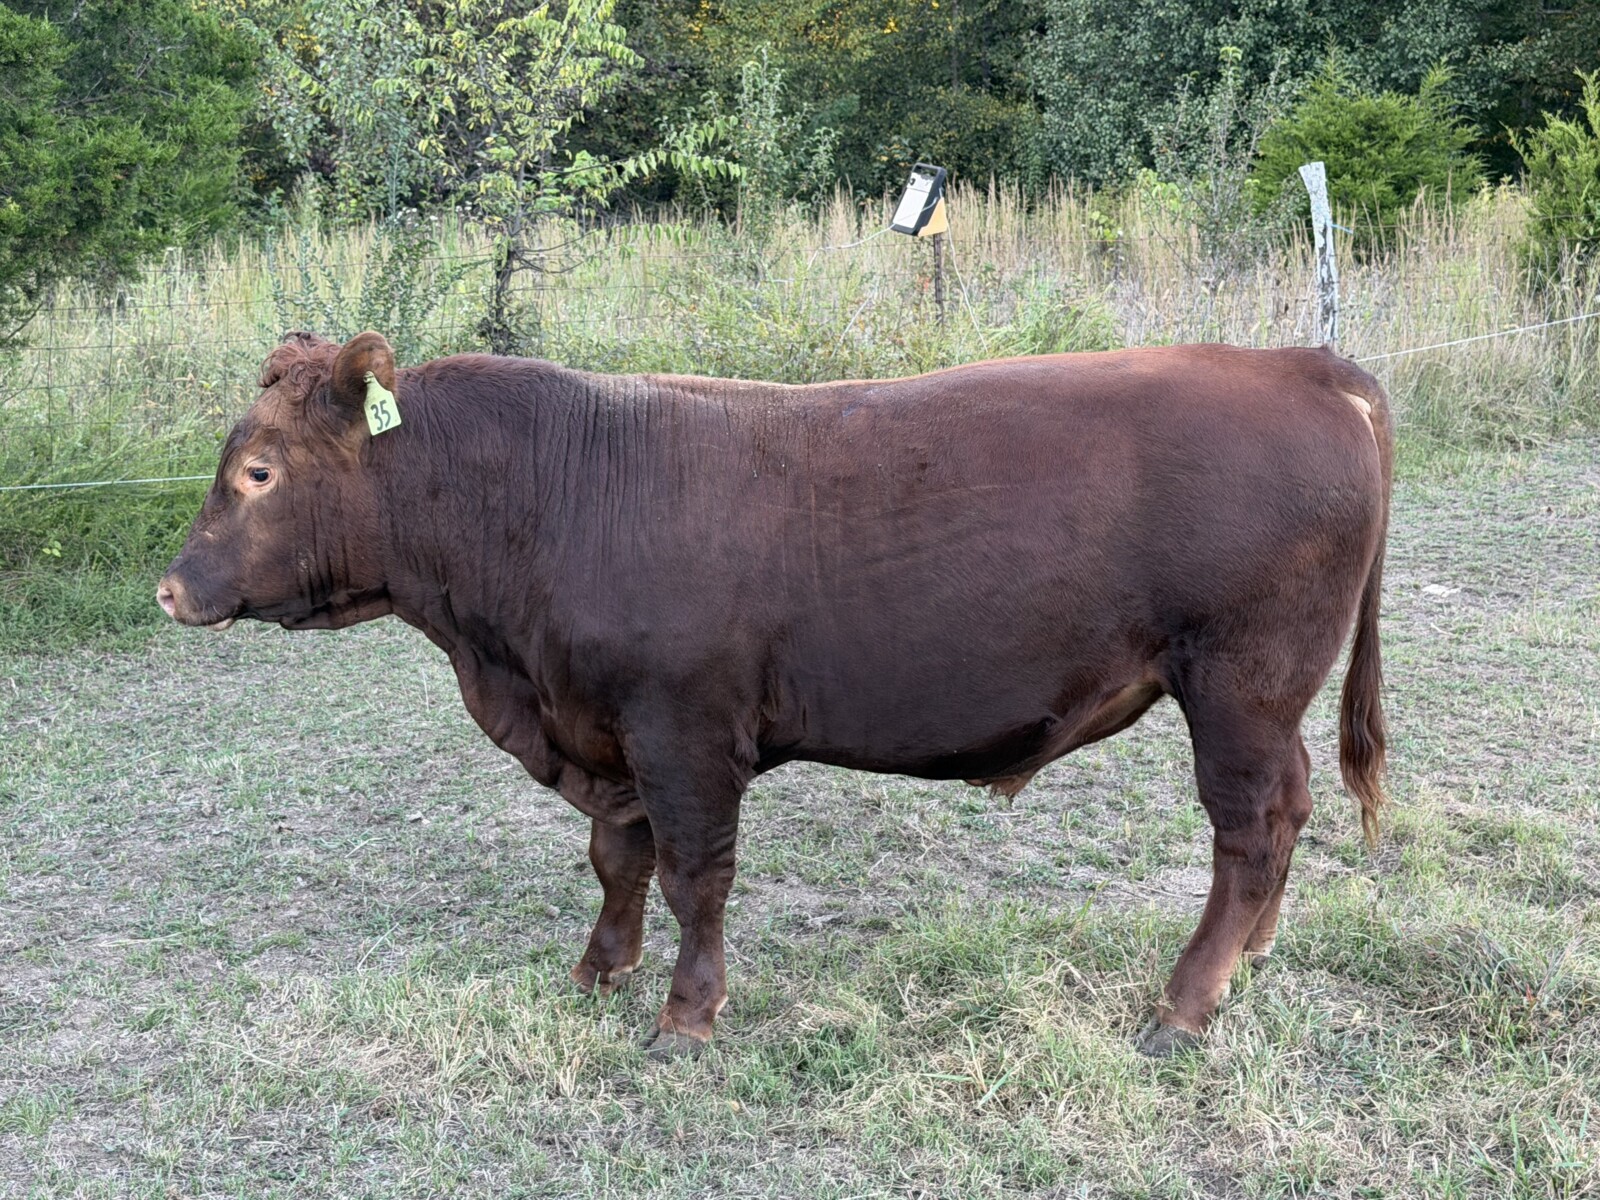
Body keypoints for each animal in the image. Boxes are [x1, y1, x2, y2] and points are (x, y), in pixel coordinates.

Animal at [158, 331, 1390, 1059]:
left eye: (258, 473)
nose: (171, 588)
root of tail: (1302, 362)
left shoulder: (683, 730)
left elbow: (694, 875)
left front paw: (685, 1014)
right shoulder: (610, 734)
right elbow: (619, 859)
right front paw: (599, 968)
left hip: (1238, 686)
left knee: (1249, 829)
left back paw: (1184, 1001)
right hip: (1264, 698)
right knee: (1289, 813)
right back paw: (1251, 959)